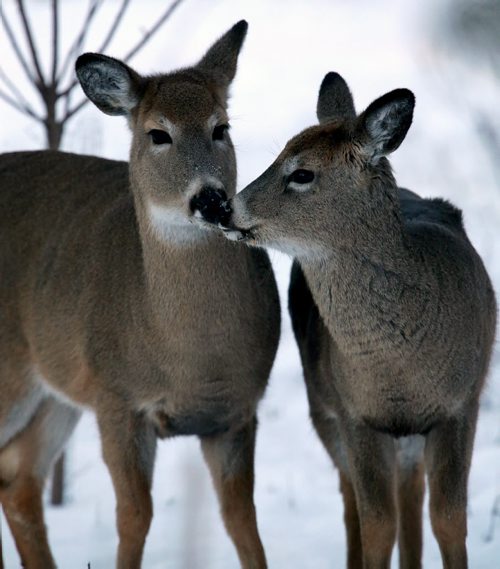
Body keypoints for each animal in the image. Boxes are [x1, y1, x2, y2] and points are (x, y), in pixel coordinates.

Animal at [0, 22, 282, 568]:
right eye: (158, 134)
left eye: (221, 127)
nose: (211, 200)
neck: (190, 358)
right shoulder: (117, 398)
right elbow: (134, 517)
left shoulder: (237, 411)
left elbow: (243, 521)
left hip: (53, 391)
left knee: (19, 485)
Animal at [193, 73, 498, 564]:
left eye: (301, 173)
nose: (225, 209)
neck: (402, 366)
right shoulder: (356, 415)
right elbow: (377, 523)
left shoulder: (462, 404)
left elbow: (449, 519)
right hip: (322, 402)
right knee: (355, 498)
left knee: (410, 493)